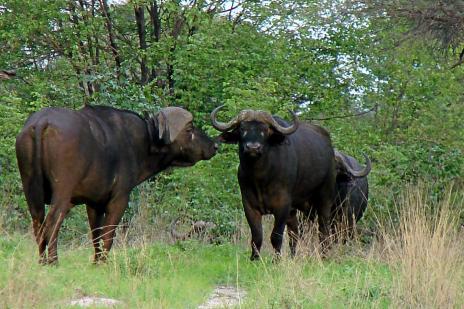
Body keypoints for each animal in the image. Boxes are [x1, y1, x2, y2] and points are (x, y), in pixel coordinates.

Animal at [15, 104, 217, 262]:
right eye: (189, 129)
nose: (214, 145)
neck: (141, 142)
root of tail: (42, 122)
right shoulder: (119, 199)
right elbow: (108, 236)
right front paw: (102, 263)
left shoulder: (94, 204)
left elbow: (96, 235)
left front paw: (96, 262)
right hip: (62, 195)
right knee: (52, 223)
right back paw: (53, 262)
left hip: (31, 193)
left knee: (38, 224)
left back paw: (42, 262)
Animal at [211, 104, 338, 258]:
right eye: (242, 128)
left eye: (265, 130)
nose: (253, 147)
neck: (260, 178)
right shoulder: (249, 205)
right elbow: (257, 236)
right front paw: (254, 258)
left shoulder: (282, 205)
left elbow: (276, 236)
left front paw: (276, 259)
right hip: (299, 208)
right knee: (294, 233)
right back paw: (293, 256)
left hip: (325, 198)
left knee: (323, 229)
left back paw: (324, 255)